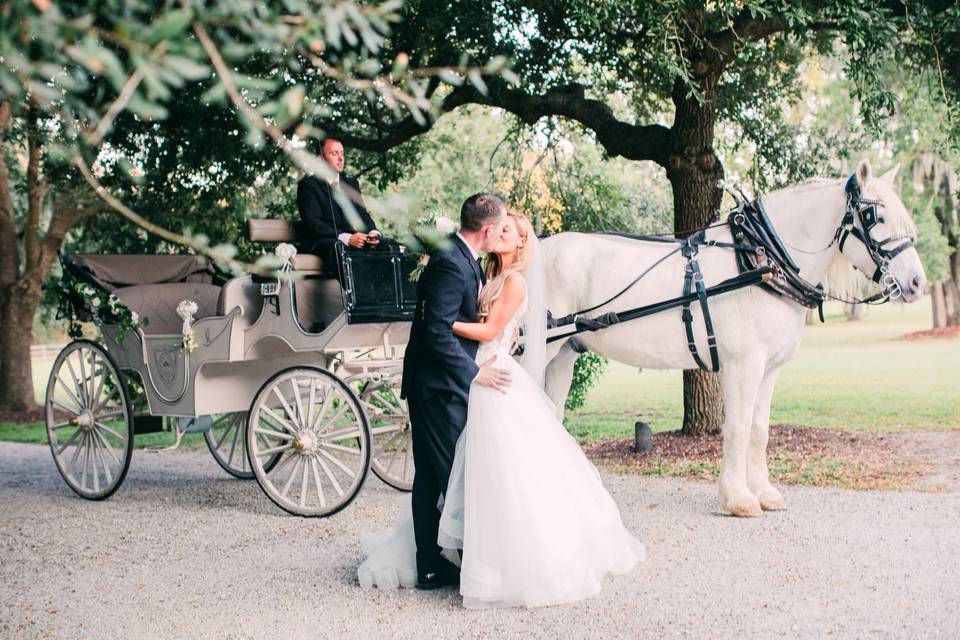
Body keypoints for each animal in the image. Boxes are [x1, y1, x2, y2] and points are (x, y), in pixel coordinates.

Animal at [544, 160, 928, 516]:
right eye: (874, 215)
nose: (917, 283)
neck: (761, 261)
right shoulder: (744, 365)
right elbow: (739, 427)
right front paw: (738, 498)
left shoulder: (769, 369)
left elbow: (759, 430)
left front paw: (765, 492)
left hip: (564, 355)